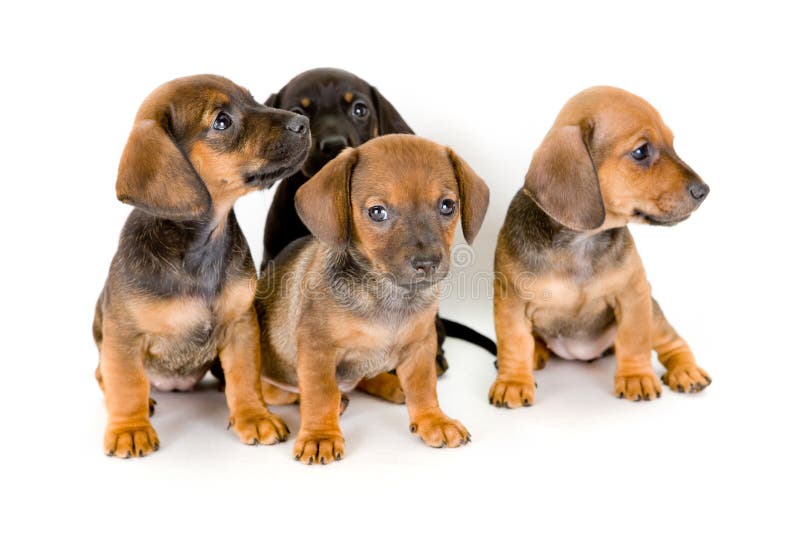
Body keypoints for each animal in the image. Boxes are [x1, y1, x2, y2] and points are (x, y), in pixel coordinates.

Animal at [91, 75, 310, 460]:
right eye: (221, 121)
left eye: (253, 99)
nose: (304, 123)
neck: (200, 248)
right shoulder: (123, 335)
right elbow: (127, 384)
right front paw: (129, 428)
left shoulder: (241, 326)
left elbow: (244, 377)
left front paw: (254, 416)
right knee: (104, 375)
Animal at [256, 134, 490, 466]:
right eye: (377, 212)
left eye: (447, 206)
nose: (427, 263)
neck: (388, 294)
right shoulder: (317, 350)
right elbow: (320, 394)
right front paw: (320, 435)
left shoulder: (421, 345)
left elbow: (424, 386)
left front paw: (433, 420)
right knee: (286, 393)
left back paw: (391, 385)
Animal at [490, 86, 708, 408]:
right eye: (641, 152)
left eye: (672, 143)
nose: (704, 190)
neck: (582, 241)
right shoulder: (511, 304)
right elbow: (514, 343)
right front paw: (513, 381)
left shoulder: (633, 295)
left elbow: (634, 339)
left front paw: (636, 376)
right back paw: (536, 353)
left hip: (653, 313)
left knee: (673, 342)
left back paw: (686, 370)